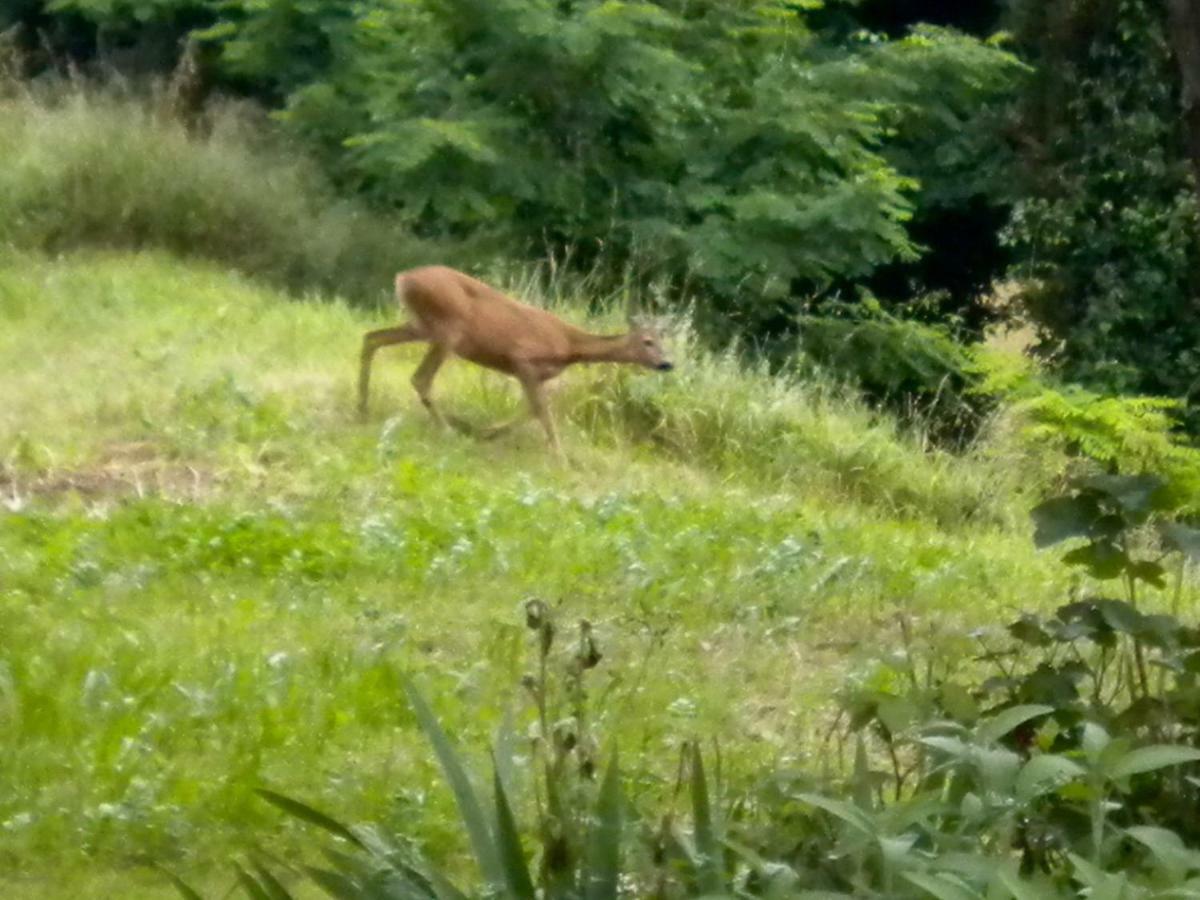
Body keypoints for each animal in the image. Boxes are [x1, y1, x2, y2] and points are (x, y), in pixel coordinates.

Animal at [355, 264, 676, 453]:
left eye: (663, 341)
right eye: (648, 342)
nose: (667, 363)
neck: (568, 346)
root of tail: (403, 278)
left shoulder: (532, 373)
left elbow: (533, 410)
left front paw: (488, 432)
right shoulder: (524, 359)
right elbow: (542, 412)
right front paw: (561, 460)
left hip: (421, 325)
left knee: (371, 338)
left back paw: (363, 408)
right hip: (447, 329)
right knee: (420, 378)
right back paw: (447, 431)